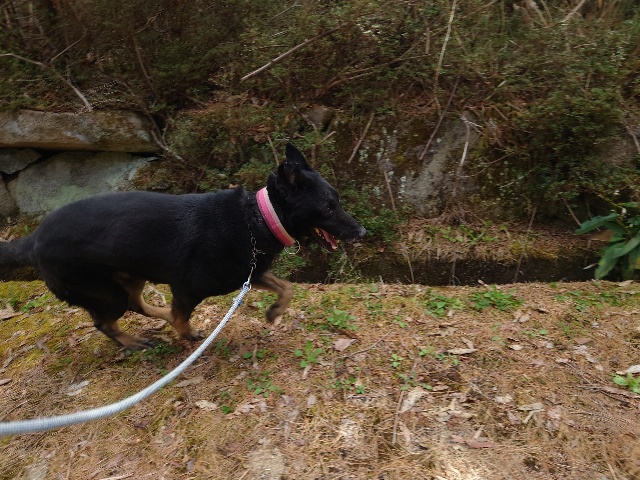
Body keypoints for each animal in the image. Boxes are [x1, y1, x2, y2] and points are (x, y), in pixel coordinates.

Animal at [0, 143, 366, 350]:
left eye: (336, 201)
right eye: (329, 207)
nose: (361, 231)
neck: (257, 217)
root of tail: (34, 238)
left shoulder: (249, 274)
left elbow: (286, 287)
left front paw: (275, 311)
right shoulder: (190, 287)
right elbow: (182, 319)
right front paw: (187, 337)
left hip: (130, 276)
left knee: (137, 304)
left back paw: (156, 317)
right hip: (105, 291)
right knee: (107, 321)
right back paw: (133, 341)